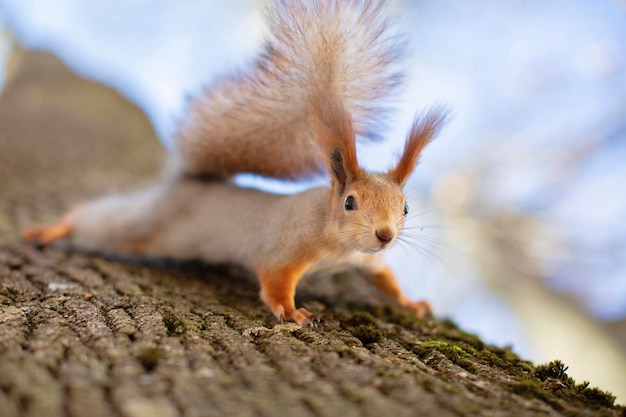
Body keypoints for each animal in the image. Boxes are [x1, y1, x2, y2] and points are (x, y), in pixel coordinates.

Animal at [23, 0, 444, 324]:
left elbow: (385, 279)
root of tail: (193, 181)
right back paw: (50, 230)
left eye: (405, 207)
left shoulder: (368, 260)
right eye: (350, 202)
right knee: (99, 219)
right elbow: (275, 281)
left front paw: (412, 303)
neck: (337, 242)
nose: (385, 235)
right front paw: (291, 312)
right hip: (147, 223)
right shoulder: (284, 248)